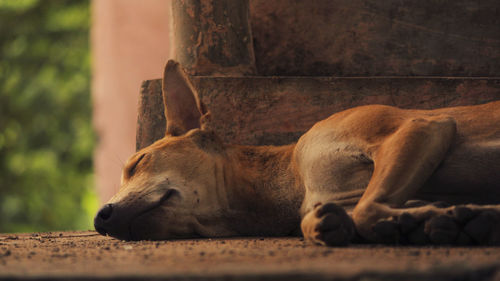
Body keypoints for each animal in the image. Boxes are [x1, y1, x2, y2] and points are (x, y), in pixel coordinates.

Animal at [94, 60, 500, 244]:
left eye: (138, 162)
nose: (101, 218)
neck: (291, 178)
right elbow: (338, 216)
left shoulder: (422, 127)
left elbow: (368, 209)